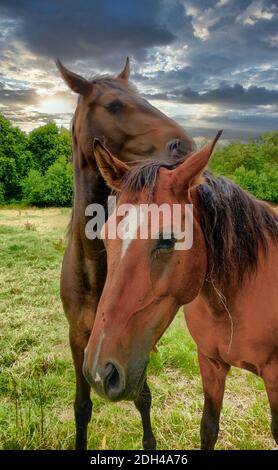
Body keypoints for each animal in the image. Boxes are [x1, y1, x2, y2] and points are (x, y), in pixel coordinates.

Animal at [56, 57, 195, 450]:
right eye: (114, 105)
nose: (186, 146)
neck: (95, 267)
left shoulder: (137, 337)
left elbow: (143, 397)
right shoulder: (79, 339)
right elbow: (82, 407)